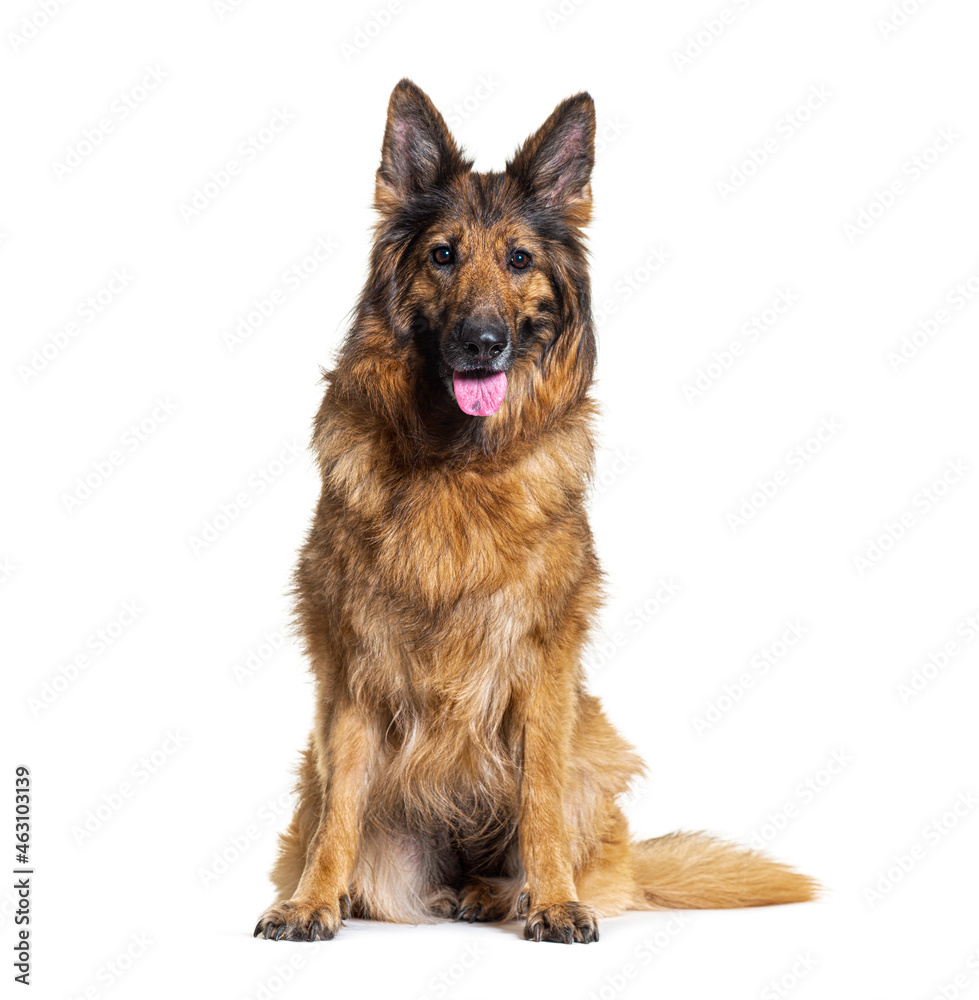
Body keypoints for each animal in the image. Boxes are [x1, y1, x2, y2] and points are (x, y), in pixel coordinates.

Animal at [255, 80, 820, 944]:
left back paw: (504, 894)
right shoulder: (354, 661)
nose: (482, 342)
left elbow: (540, 799)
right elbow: (340, 806)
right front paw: (312, 902)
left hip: (597, 754)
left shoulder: (542, 664)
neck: (456, 463)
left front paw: (553, 901)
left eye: (518, 259)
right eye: (442, 255)